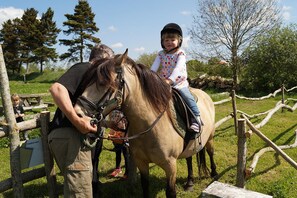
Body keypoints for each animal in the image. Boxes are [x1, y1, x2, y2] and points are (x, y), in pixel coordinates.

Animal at [74, 50, 217, 197]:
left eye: (102, 83)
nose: (78, 114)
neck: (149, 127)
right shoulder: (142, 163)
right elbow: (145, 187)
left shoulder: (170, 166)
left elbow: (170, 192)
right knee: (189, 157)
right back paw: (189, 182)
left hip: (210, 136)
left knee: (210, 152)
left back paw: (214, 174)